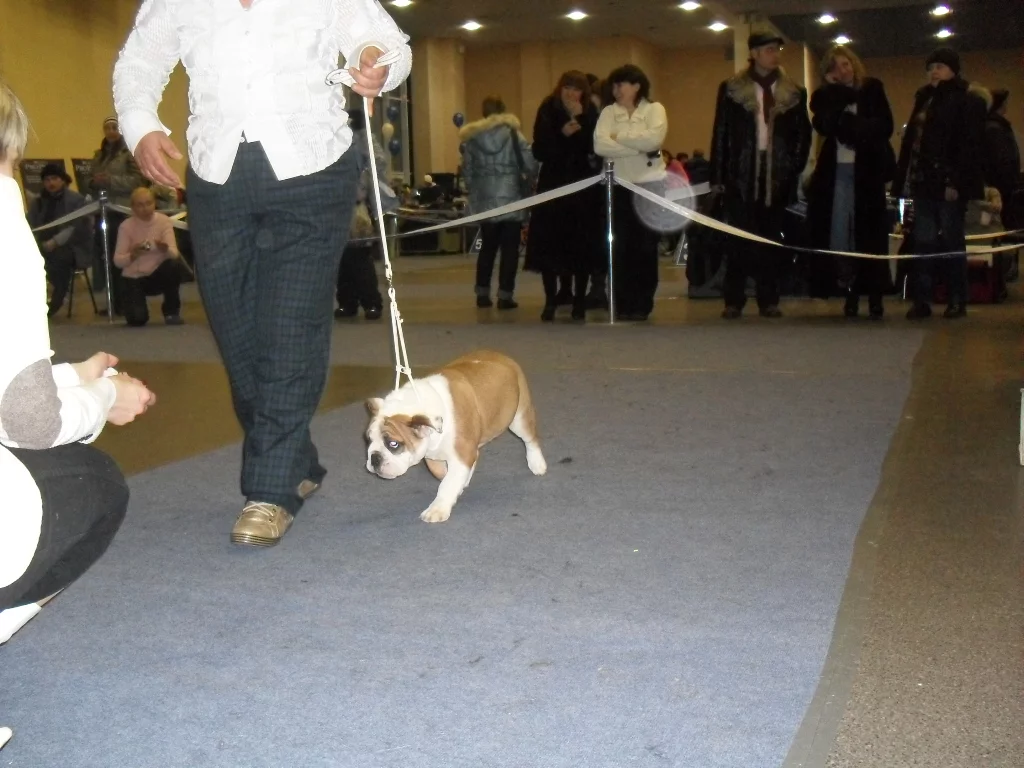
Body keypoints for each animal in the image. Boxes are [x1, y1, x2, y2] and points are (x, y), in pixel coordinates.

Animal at [365, 350, 547, 523]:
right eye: (368, 440)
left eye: (393, 444)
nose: (374, 458)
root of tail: (502, 356)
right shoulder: (434, 454)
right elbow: (442, 474)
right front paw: (458, 482)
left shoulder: (462, 453)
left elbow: (448, 482)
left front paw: (438, 509)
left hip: (519, 417)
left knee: (530, 440)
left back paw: (537, 463)